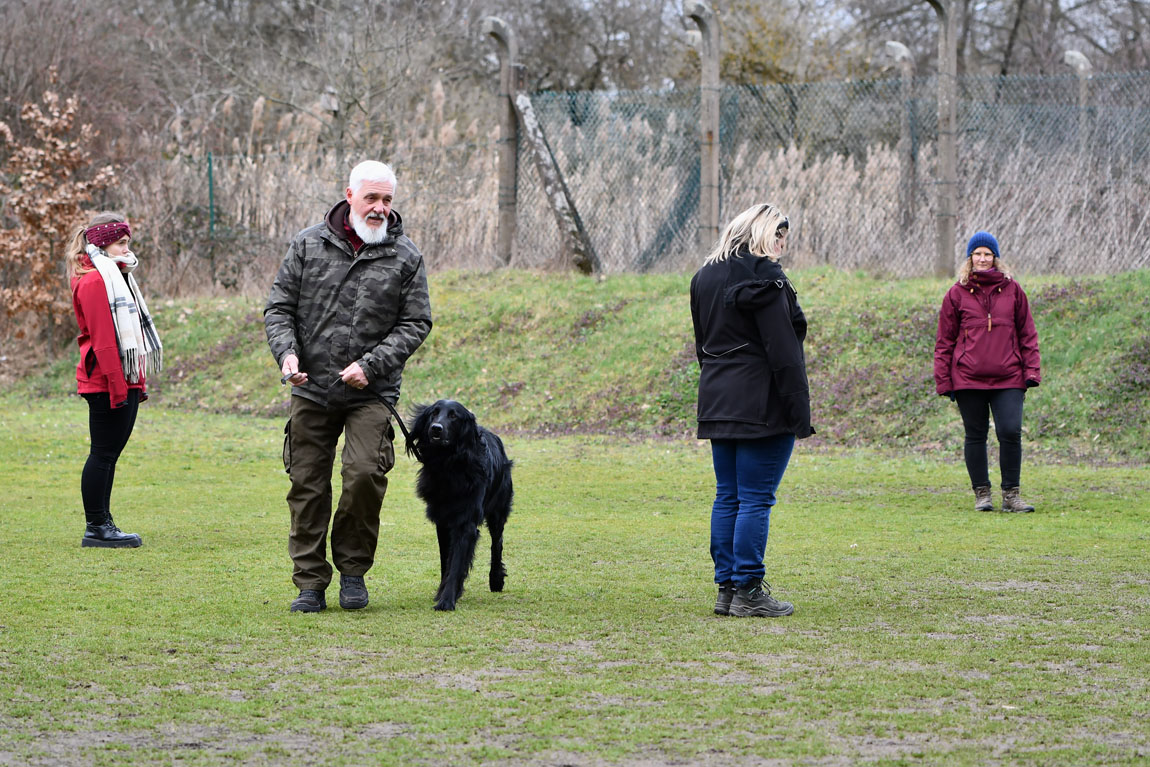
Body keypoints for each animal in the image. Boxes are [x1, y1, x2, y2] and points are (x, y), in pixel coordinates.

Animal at [404, 402, 512, 611]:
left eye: (454, 416)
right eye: (434, 413)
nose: (435, 428)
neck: (449, 465)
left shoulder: (465, 524)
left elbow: (456, 563)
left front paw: (447, 600)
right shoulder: (443, 521)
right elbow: (446, 561)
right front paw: (444, 593)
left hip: (498, 510)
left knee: (497, 543)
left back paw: (496, 579)